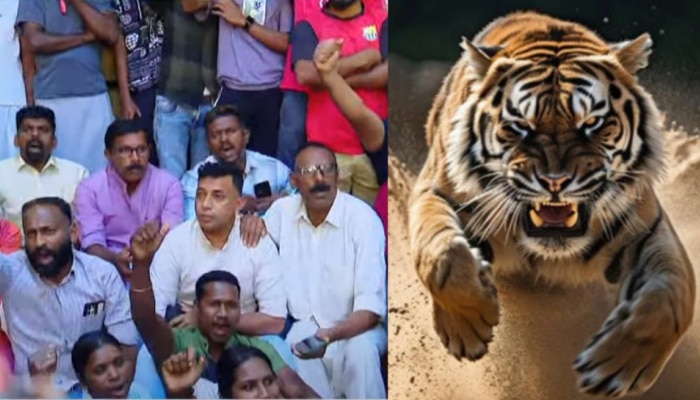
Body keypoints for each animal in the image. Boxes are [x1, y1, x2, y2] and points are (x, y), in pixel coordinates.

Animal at [408, 11, 696, 397]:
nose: (555, 181)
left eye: (592, 123)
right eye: (520, 126)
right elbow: (441, 254)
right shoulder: (435, 192)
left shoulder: (646, 228)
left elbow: (671, 296)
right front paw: (467, 326)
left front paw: (615, 367)